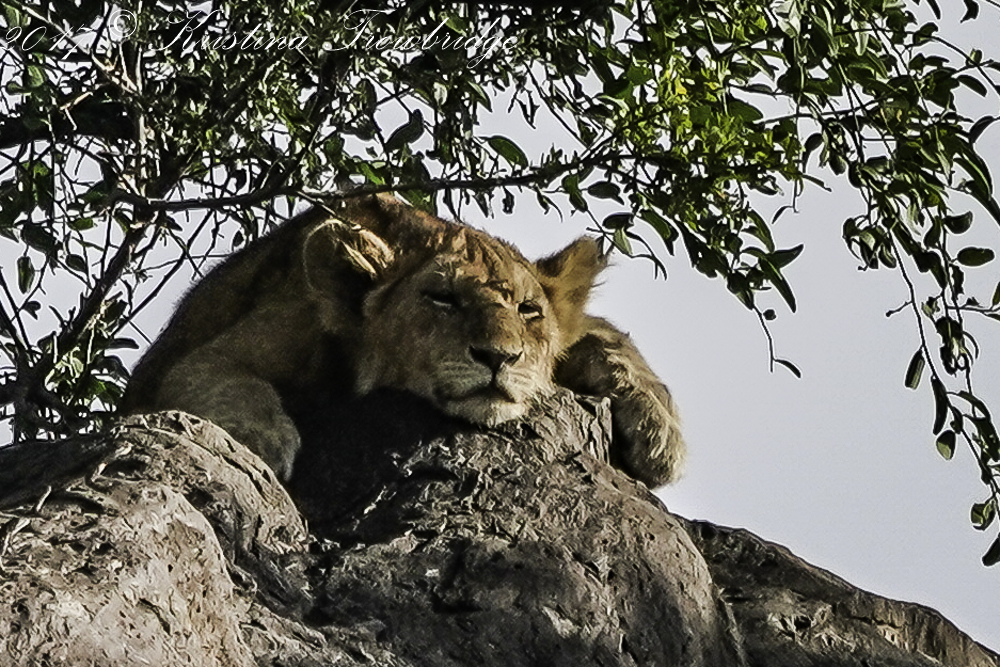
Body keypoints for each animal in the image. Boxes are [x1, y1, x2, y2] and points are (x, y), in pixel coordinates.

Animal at [123, 194, 685, 486]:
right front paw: (265, 443)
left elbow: (607, 335)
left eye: (528, 311)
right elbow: (230, 381)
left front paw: (661, 438)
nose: (498, 357)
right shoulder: (207, 356)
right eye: (442, 298)